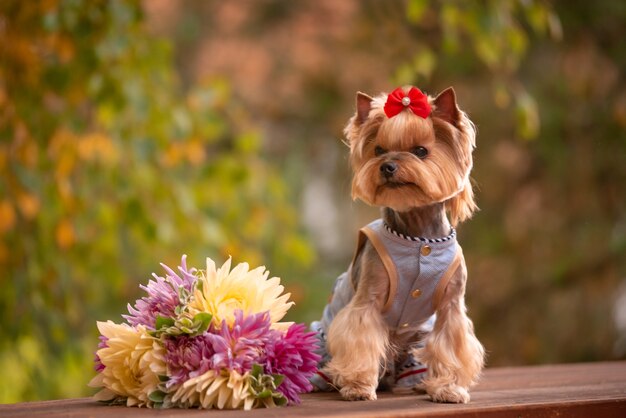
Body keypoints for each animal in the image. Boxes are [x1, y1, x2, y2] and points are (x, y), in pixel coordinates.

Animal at [310, 86, 482, 404]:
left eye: (421, 151)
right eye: (378, 150)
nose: (387, 166)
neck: (419, 238)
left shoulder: (451, 305)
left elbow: (450, 344)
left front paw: (448, 388)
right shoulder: (368, 299)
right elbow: (360, 337)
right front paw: (358, 387)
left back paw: (417, 383)